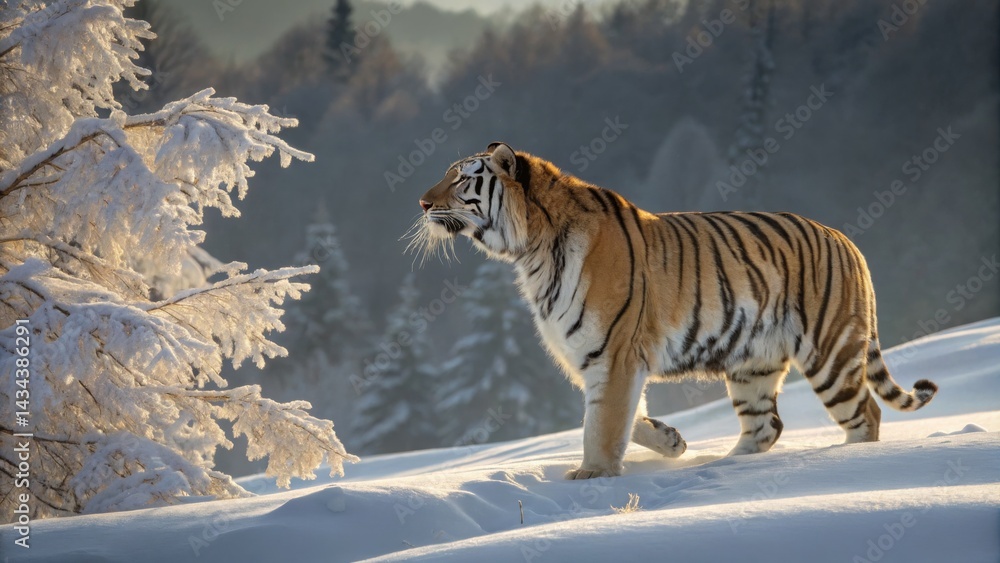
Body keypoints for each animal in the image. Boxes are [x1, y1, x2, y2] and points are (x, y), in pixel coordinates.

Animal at [409, 141, 938, 480]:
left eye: (460, 179)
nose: (421, 202)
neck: (532, 251)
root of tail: (847, 240)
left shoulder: (613, 354)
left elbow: (602, 424)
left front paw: (592, 476)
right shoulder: (596, 358)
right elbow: (625, 416)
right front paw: (672, 443)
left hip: (830, 351)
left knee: (865, 414)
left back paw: (843, 461)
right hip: (752, 363)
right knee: (766, 425)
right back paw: (724, 465)